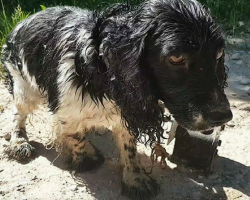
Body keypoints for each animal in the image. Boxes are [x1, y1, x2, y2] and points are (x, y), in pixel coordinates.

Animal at [0, 0, 233, 199]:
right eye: (176, 58)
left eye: (219, 54)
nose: (223, 117)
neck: (101, 67)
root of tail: (24, 20)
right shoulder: (66, 107)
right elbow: (75, 135)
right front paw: (86, 157)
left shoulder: (125, 112)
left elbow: (128, 148)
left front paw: (135, 180)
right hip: (24, 88)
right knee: (17, 115)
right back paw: (19, 142)